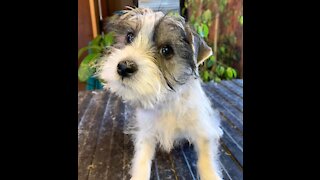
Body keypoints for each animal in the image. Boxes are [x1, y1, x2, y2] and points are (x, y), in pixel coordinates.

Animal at [97, 7, 222, 180]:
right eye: (129, 37)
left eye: (166, 50)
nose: (124, 67)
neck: (166, 101)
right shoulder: (146, 135)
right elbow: (141, 160)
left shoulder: (202, 133)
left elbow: (206, 161)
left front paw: (211, 174)